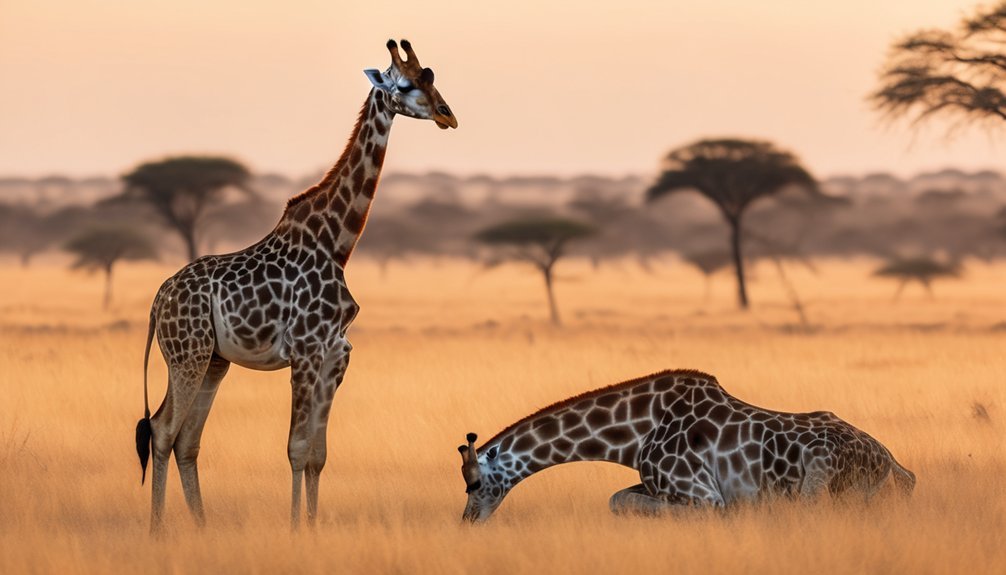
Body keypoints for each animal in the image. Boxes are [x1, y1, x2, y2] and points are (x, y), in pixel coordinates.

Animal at [134, 39, 457, 532]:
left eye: (431, 77)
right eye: (404, 84)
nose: (447, 115)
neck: (338, 243)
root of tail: (158, 300)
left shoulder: (337, 354)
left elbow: (318, 454)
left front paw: (313, 528)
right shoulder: (305, 352)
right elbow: (296, 448)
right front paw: (293, 531)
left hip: (213, 361)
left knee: (187, 438)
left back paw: (203, 528)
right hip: (187, 354)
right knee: (162, 429)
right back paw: (157, 532)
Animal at [457, 369, 915, 522]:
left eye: (474, 485)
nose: (468, 521)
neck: (634, 435)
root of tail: (893, 463)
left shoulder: (704, 495)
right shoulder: (653, 485)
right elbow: (619, 499)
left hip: (819, 474)